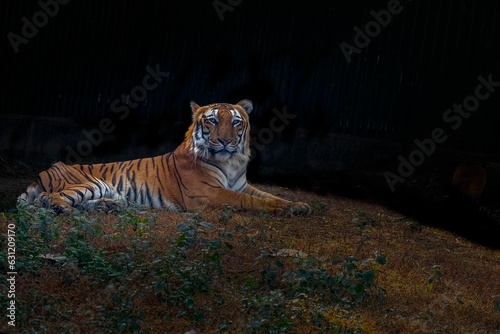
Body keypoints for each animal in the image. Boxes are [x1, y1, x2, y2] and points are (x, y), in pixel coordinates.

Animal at [17, 98, 310, 217]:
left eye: (236, 122)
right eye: (213, 120)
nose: (226, 141)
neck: (231, 162)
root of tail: (43, 172)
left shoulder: (242, 185)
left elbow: (270, 196)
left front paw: (298, 205)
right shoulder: (209, 193)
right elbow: (248, 201)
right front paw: (283, 210)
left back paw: (108, 207)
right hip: (89, 183)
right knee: (47, 200)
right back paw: (65, 209)